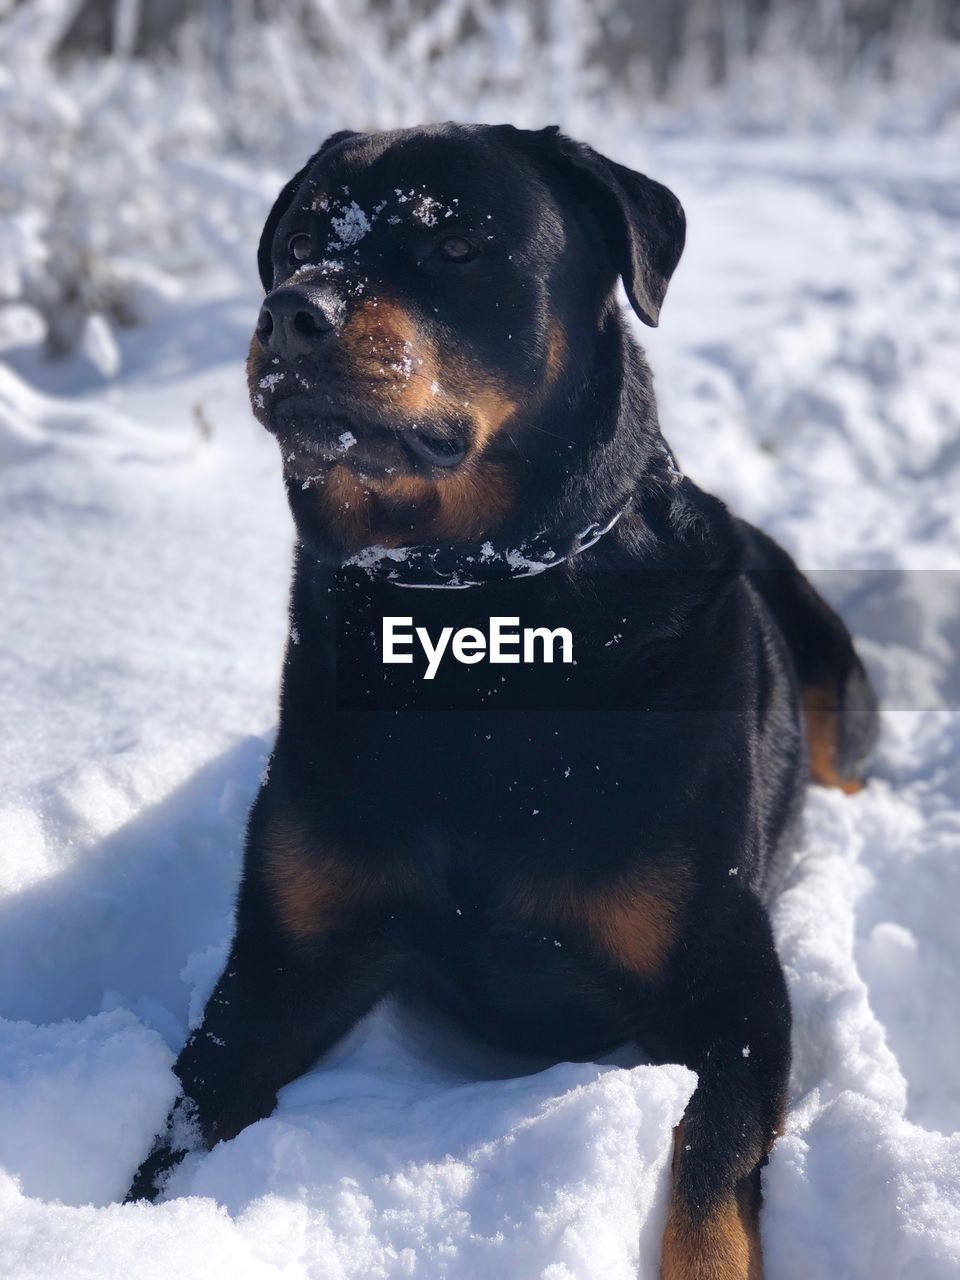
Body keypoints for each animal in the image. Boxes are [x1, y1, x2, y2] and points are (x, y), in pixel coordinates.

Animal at [128, 122, 880, 1280]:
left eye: (459, 244)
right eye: (299, 240)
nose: (293, 310)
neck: (479, 632)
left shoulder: (731, 984)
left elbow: (710, 1164)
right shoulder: (278, 964)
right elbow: (172, 1137)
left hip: (831, 667)